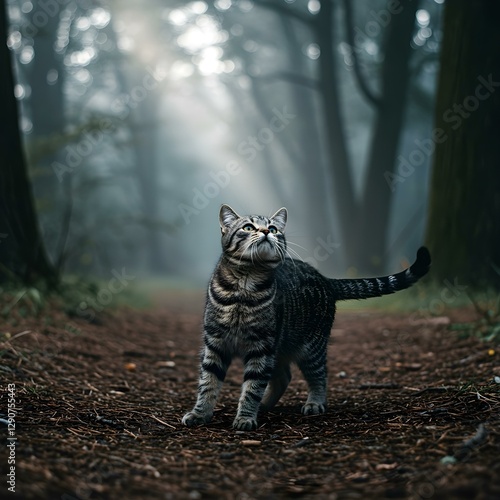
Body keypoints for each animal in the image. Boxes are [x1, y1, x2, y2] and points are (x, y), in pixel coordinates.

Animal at [182, 203, 432, 430]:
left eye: (273, 228)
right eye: (248, 227)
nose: (265, 232)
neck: (243, 289)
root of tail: (326, 280)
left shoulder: (262, 347)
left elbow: (252, 387)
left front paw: (245, 416)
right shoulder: (215, 343)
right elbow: (207, 383)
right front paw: (200, 414)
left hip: (310, 348)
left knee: (319, 376)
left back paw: (313, 403)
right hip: (281, 348)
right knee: (284, 377)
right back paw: (265, 406)